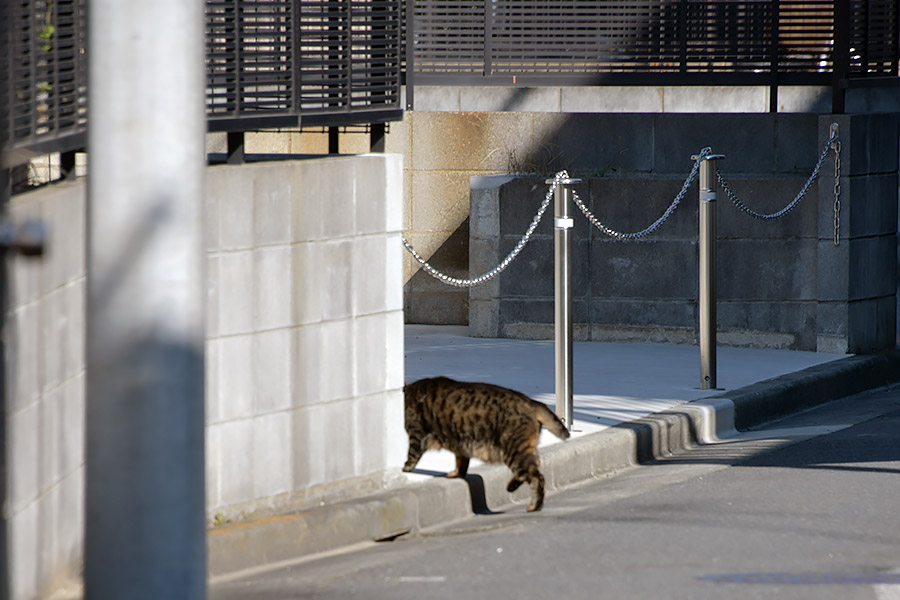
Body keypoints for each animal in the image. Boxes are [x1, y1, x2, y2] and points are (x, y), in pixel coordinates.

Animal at [402, 376, 568, 510]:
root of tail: (532, 401)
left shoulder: (416, 434)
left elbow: (412, 455)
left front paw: (405, 468)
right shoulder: (460, 445)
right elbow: (461, 463)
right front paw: (457, 474)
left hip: (514, 450)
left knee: (536, 477)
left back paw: (533, 506)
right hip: (524, 450)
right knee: (532, 472)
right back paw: (514, 488)